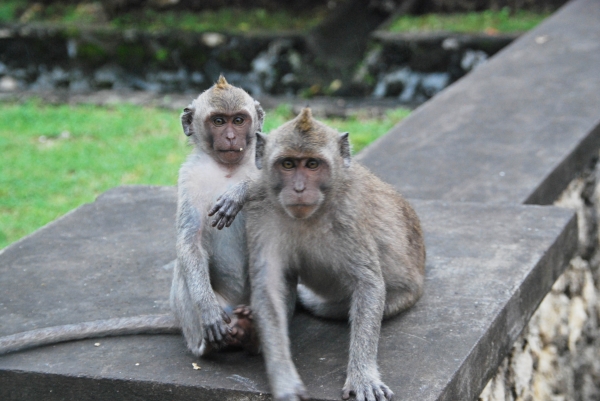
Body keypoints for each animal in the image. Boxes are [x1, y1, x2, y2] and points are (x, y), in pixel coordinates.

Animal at [0, 76, 262, 356]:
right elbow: (189, 241)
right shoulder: (188, 177)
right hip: (207, 318)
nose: (231, 137)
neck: (227, 169)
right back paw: (217, 340)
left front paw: (240, 191)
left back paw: (251, 332)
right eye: (219, 121)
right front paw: (208, 311)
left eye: (238, 120)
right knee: (184, 264)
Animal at [211, 106, 426, 400]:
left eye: (312, 165)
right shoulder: (262, 214)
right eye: (288, 164)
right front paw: (284, 380)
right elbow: (268, 287)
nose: (299, 189)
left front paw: (362, 376)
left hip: (402, 297)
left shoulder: (349, 214)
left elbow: (368, 283)